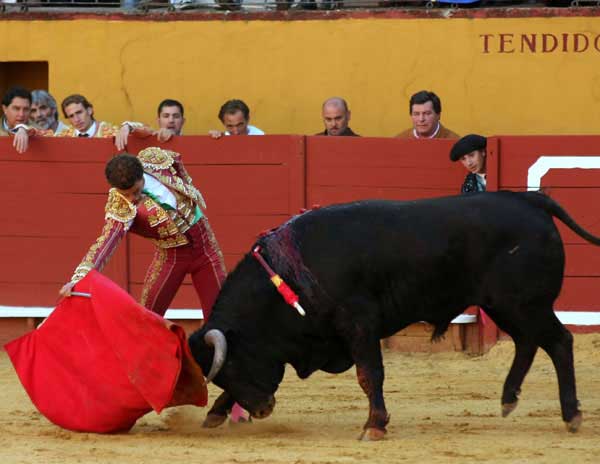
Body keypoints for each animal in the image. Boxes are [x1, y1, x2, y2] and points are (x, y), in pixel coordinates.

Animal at [189, 191, 600, 438]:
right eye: (222, 374)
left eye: (234, 366)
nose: (262, 410)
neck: (289, 273)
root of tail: (528, 198)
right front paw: (215, 413)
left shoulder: (359, 323)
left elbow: (369, 373)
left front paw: (374, 426)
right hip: (505, 305)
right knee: (528, 342)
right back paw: (508, 399)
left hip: (526, 303)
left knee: (559, 342)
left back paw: (571, 416)